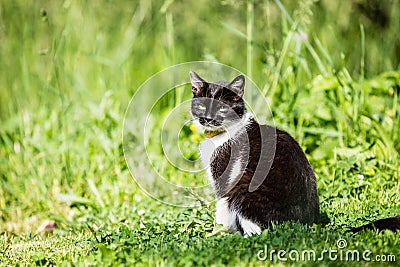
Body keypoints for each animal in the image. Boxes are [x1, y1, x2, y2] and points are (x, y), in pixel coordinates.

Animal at [190, 70, 400, 237]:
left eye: (221, 108)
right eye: (201, 106)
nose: (206, 119)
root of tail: (306, 225)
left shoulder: (225, 176)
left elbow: (221, 206)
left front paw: (218, 232)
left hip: (245, 187)